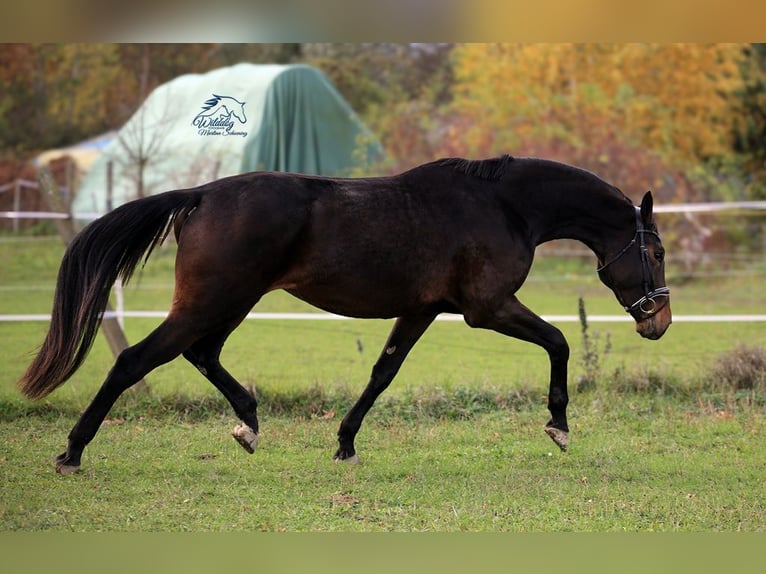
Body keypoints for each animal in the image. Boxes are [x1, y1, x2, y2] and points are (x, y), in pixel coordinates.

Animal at [18, 154, 672, 475]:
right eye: (658, 252)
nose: (658, 322)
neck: (502, 205)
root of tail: (200, 195)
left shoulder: (422, 311)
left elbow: (382, 374)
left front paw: (345, 444)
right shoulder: (487, 309)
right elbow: (559, 341)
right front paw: (559, 425)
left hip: (229, 302)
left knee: (200, 353)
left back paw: (248, 424)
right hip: (214, 300)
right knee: (135, 360)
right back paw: (72, 453)